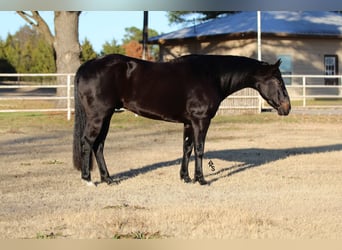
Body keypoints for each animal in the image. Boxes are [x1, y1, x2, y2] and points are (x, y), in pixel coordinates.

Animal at [73, 53, 292, 186]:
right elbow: (200, 149)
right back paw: (88, 180)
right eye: (278, 80)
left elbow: (187, 148)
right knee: (87, 142)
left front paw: (185, 177)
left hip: (107, 116)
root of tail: (88, 66)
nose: (287, 107)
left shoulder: (189, 122)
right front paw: (201, 179)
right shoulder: (201, 121)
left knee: (99, 145)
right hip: (99, 116)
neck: (210, 75)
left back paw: (108, 179)